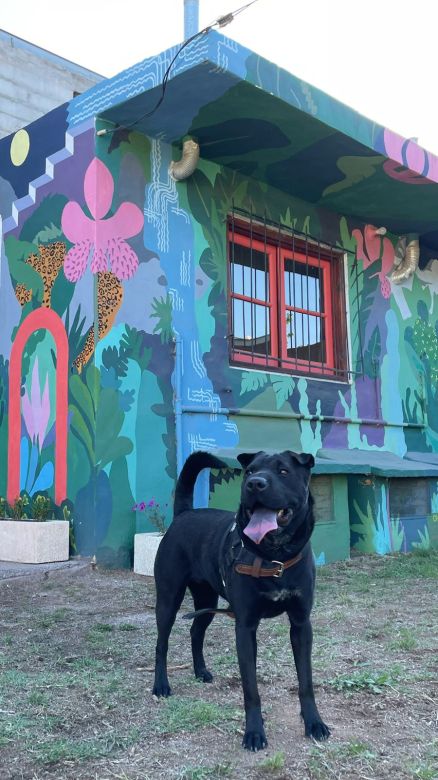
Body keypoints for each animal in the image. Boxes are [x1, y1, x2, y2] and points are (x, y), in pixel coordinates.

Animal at [152, 450, 330, 748]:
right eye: (250, 471)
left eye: (283, 471)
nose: (255, 484)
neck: (274, 557)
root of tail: (185, 513)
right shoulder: (245, 628)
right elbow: (251, 689)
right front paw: (254, 733)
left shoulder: (301, 624)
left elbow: (306, 681)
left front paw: (314, 723)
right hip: (168, 600)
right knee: (161, 644)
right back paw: (161, 685)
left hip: (207, 600)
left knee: (195, 630)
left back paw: (201, 671)